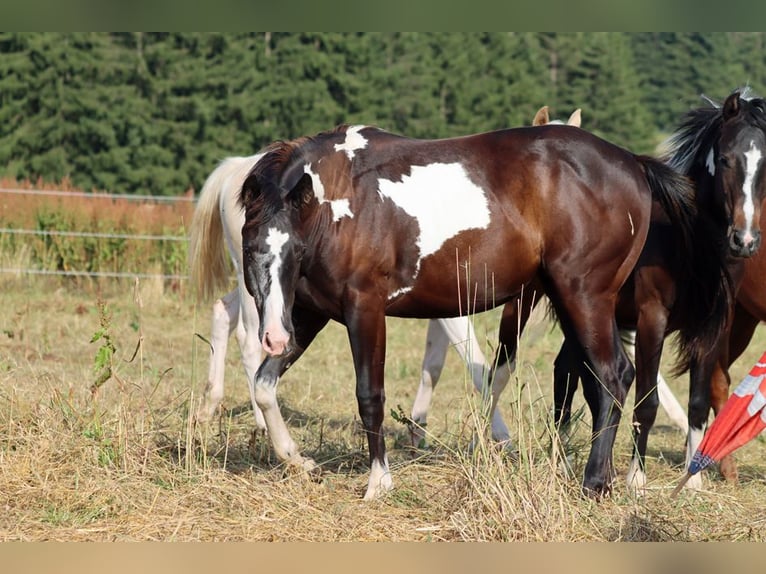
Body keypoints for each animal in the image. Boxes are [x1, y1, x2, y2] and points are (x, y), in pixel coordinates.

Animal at [188, 106, 577, 448]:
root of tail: (238, 167)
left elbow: (434, 364)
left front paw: (418, 428)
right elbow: (477, 363)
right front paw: (499, 436)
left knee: (222, 312)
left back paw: (210, 406)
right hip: (256, 287)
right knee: (249, 338)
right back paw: (260, 422)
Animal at [238, 122, 696, 500]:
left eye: (295, 250)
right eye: (251, 249)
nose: (273, 337)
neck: (340, 199)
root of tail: (633, 163)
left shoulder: (363, 310)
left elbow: (370, 395)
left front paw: (379, 482)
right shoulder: (309, 315)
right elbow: (263, 385)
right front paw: (297, 459)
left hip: (585, 297)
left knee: (613, 376)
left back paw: (595, 482)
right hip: (570, 302)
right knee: (602, 381)